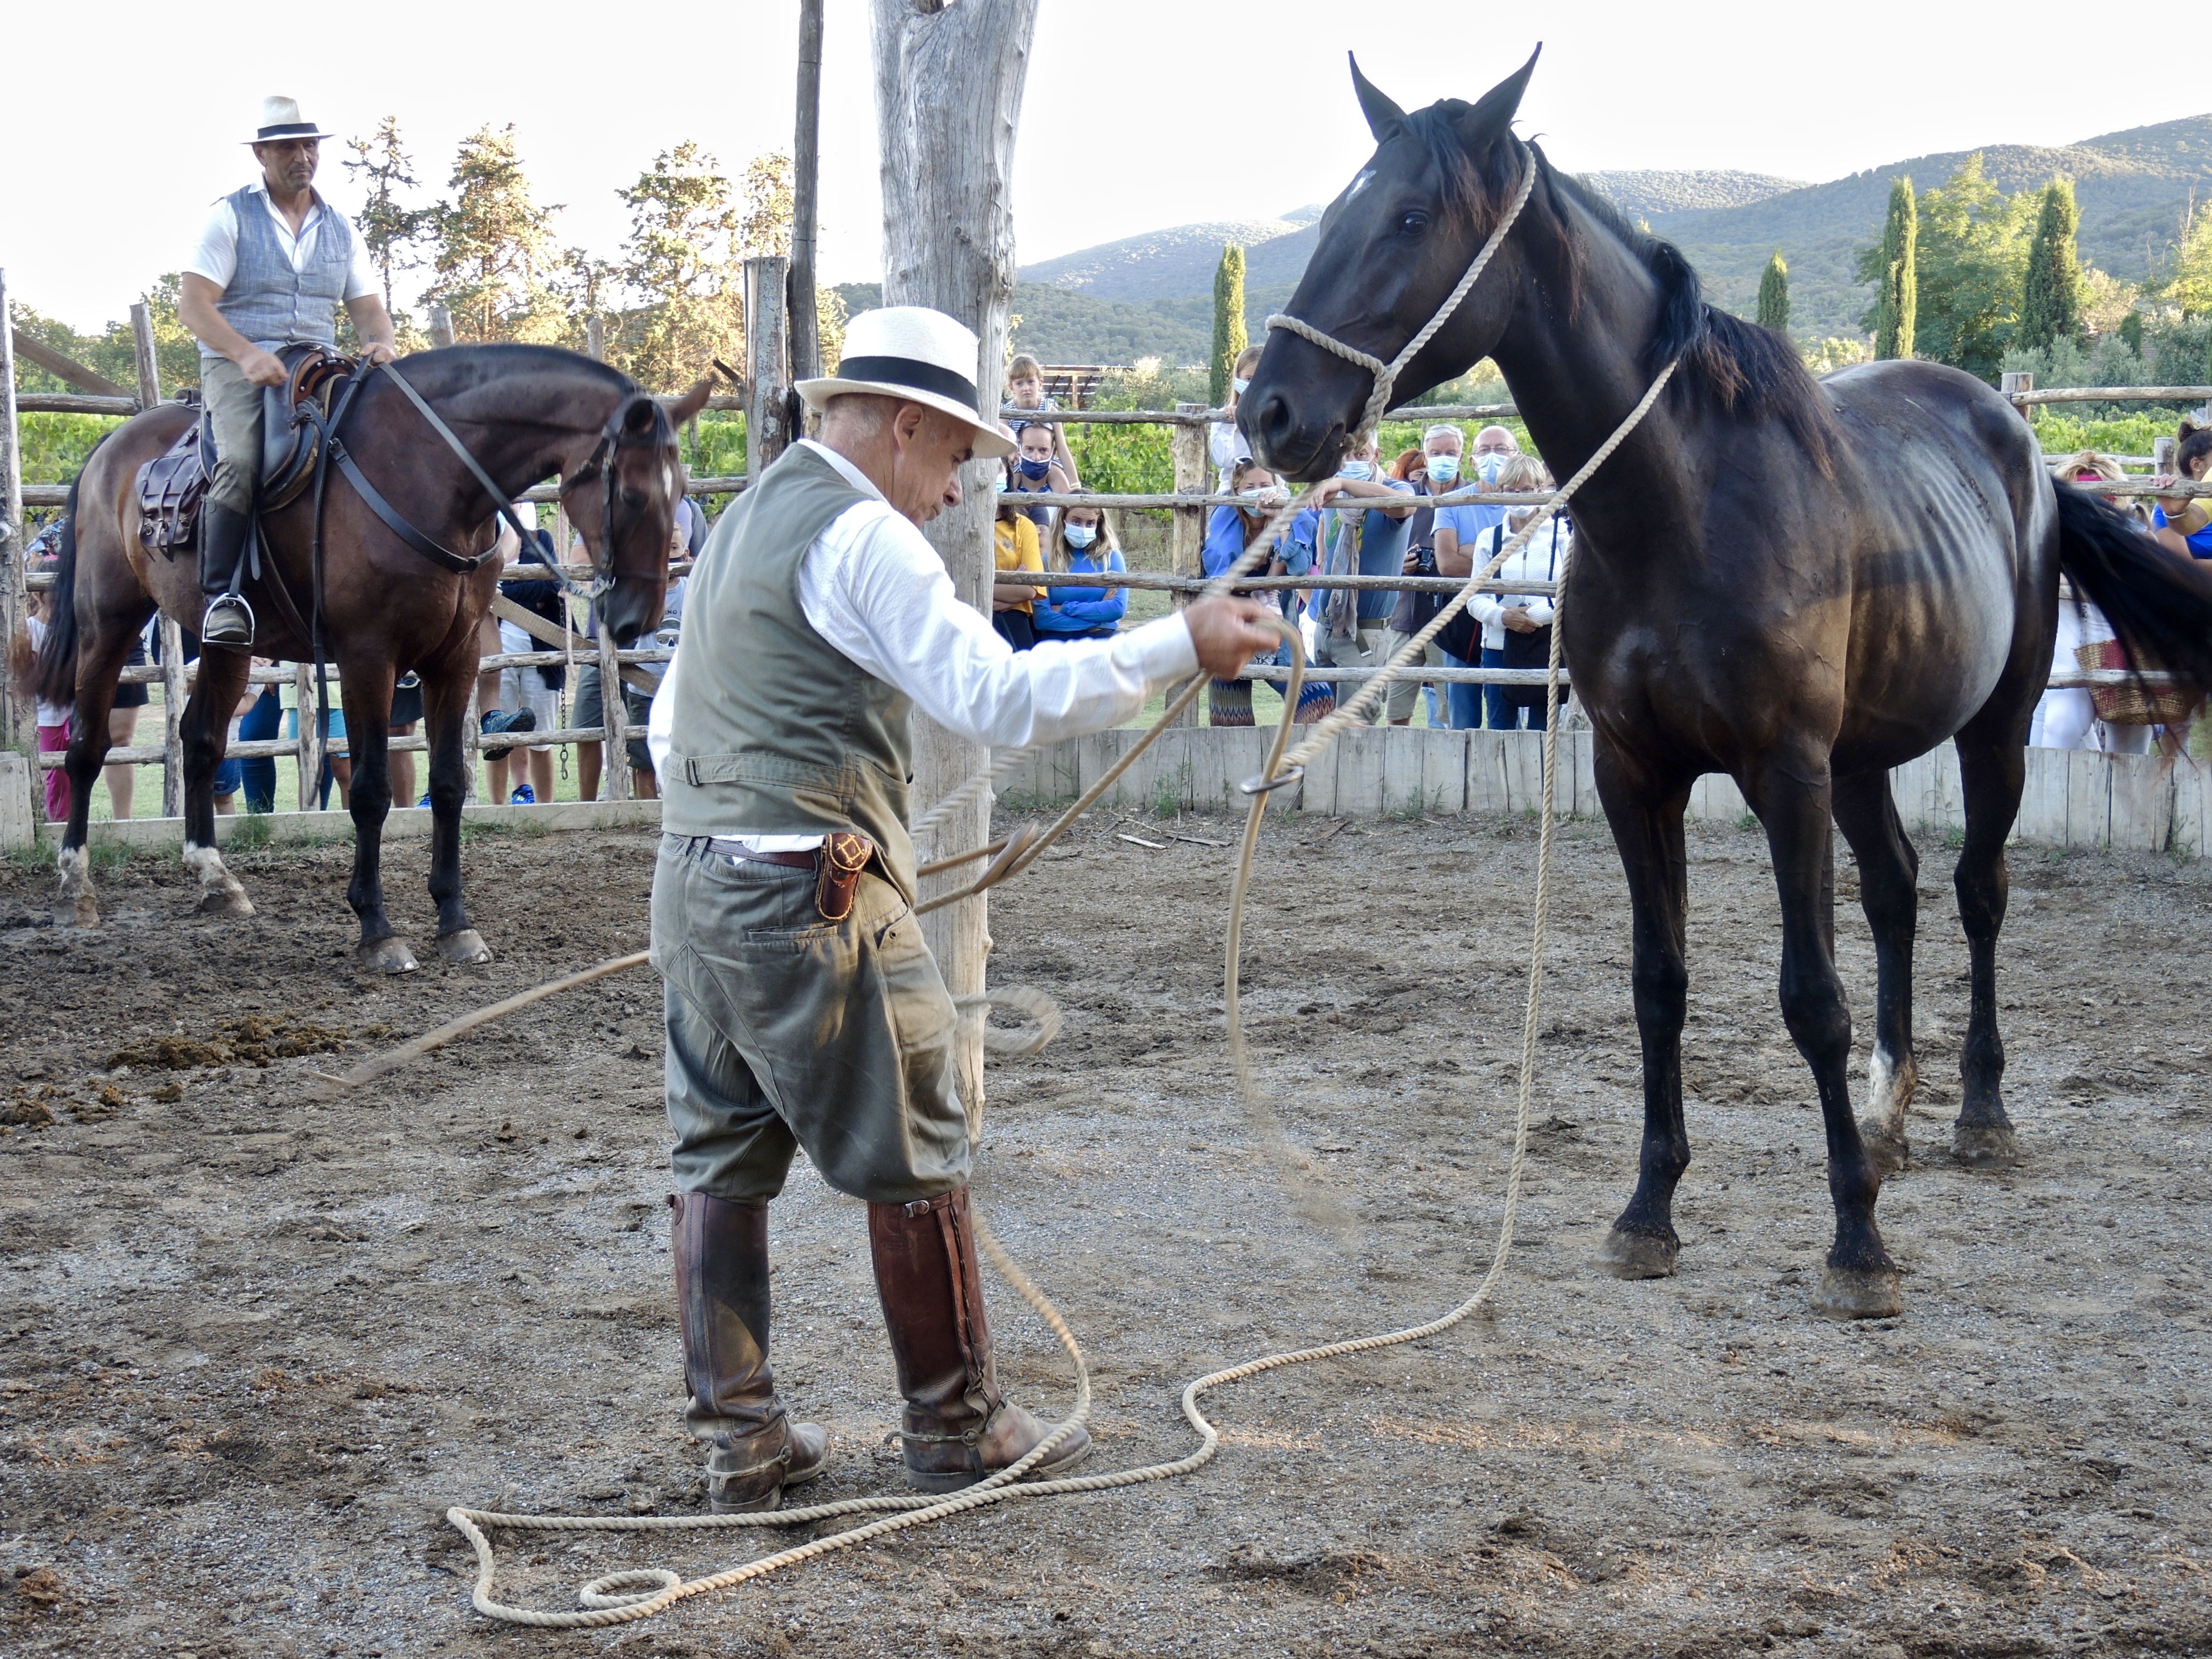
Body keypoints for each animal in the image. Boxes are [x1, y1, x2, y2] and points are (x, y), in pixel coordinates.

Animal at [39, 347, 707, 973]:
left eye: (681, 494)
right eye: (631, 494)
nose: (637, 618)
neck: (428, 473)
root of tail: (112, 447)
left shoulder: (457, 657)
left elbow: (447, 784)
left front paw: (455, 921)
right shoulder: (368, 657)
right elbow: (369, 791)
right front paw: (377, 929)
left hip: (226, 644)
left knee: (200, 739)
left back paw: (214, 876)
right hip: (107, 623)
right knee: (87, 748)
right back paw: (74, 884)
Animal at [1247, 55, 2212, 1327]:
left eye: (1408, 218)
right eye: (1327, 218)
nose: (1269, 410)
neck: (1682, 506)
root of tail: (2014, 438)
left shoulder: (1782, 773)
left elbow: (1810, 997)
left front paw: (1856, 1244)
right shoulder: (1635, 774)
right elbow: (1659, 983)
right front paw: (1648, 1212)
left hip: (1989, 732)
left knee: (1975, 893)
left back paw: (1977, 1115)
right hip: (1862, 756)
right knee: (1896, 889)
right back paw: (1886, 1120)